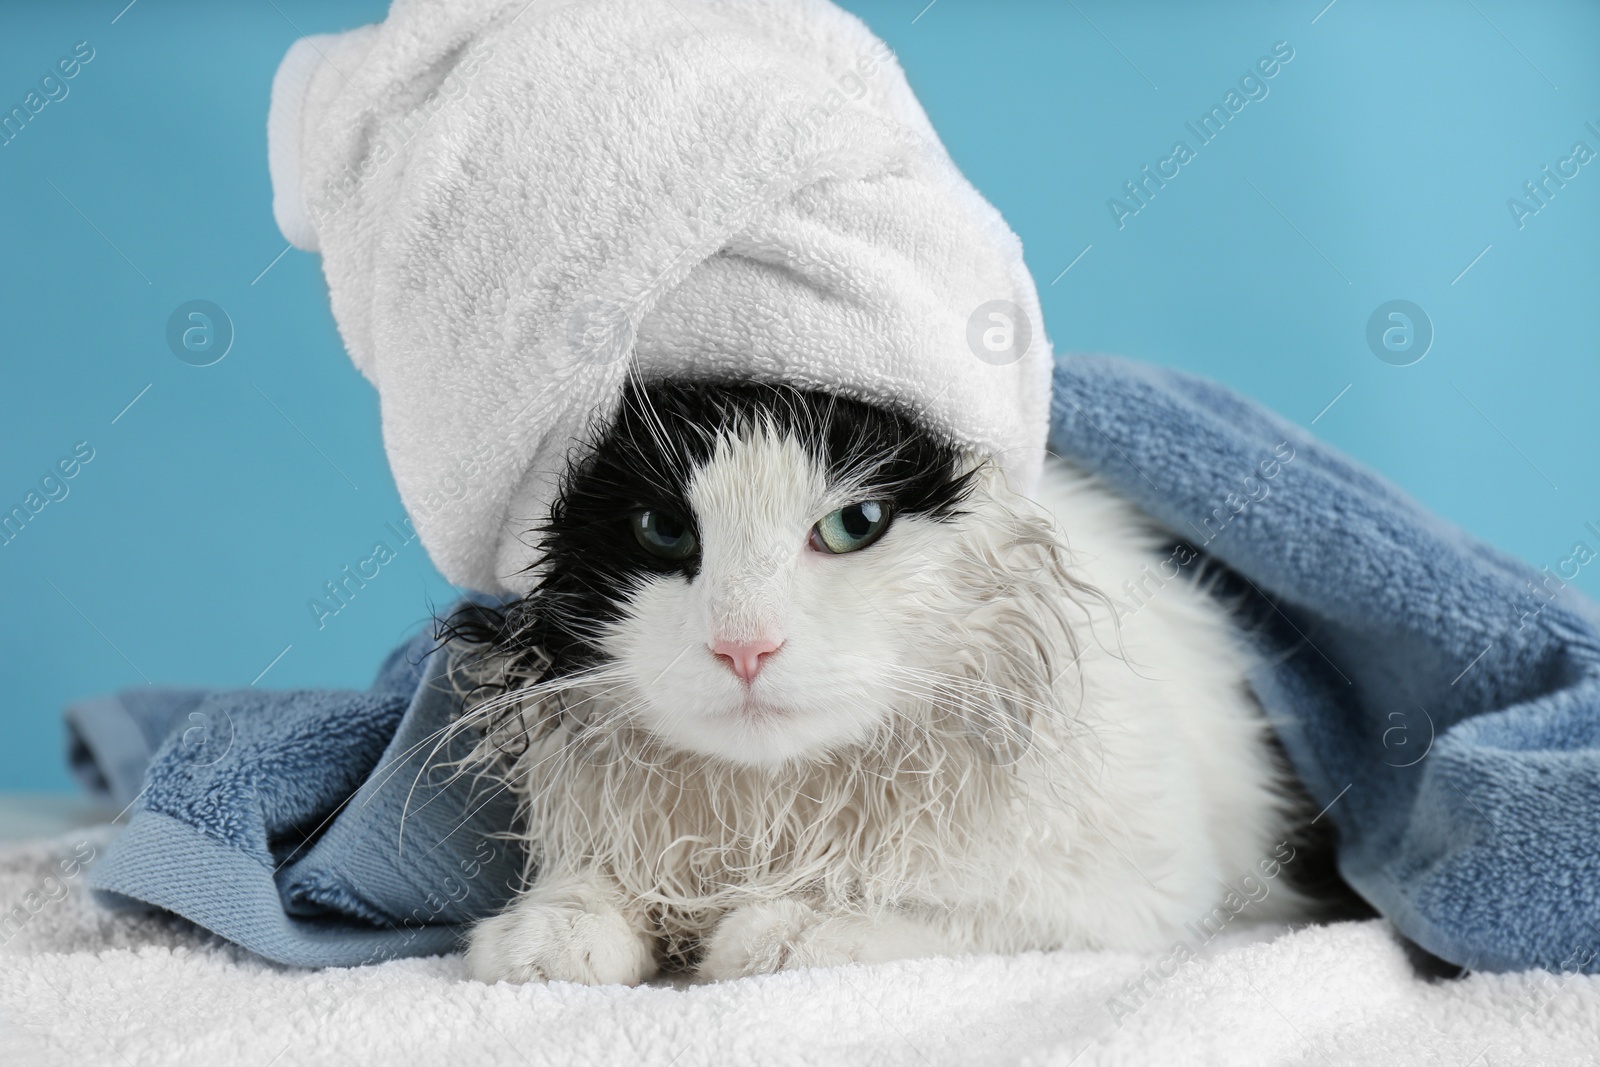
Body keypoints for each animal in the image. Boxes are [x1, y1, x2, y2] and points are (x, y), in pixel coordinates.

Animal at [457, 377, 1305, 985]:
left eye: (853, 525)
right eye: (662, 531)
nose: (745, 646)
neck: (773, 812)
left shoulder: (1145, 895)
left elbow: (955, 911)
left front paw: (792, 923)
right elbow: (595, 880)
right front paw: (550, 927)